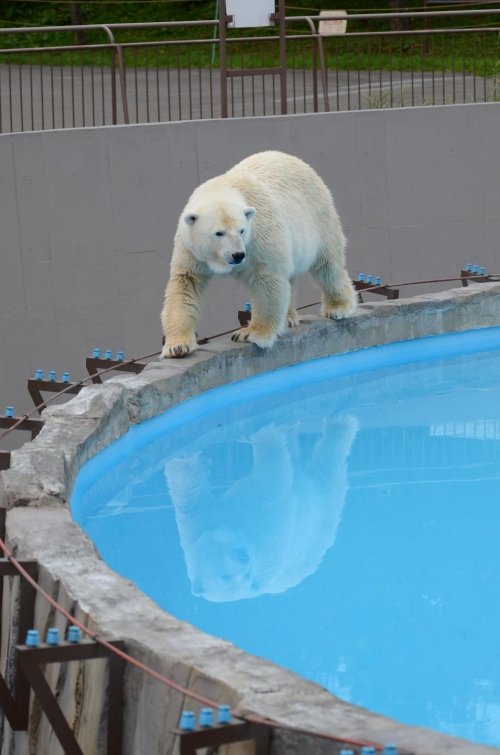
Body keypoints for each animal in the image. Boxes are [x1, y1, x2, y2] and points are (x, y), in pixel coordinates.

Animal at [160, 151, 356, 360]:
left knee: (327, 265)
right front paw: (177, 346)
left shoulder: (258, 237)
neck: (223, 188)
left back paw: (338, 307)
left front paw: (249, 334)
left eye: (242, 230)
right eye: (219, 233)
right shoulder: (190, 249)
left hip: (319, 217)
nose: (238, 255)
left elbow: (267, 279)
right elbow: (186, 284)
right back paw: (288, 318)